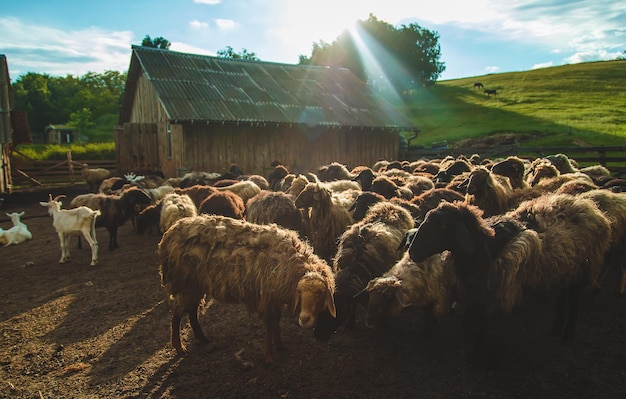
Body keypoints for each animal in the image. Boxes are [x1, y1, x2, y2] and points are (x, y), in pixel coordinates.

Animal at [158, 214, 336, 364]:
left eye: (320, 293)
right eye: (299, 292)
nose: (305, 319)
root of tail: (168, 234)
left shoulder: (274, 297)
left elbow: (276, 322)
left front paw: (279, 345)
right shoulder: (267, 298)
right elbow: (270, 325)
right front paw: (269, 357)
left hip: (195, 285)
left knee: (192, 310)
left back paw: (203, 338)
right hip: (184, 283)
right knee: (177, 315)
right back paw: (179, 347)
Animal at [408, 197, 608, 362]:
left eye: (443, 226)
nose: (412, 251)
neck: (485, 250)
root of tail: (589, 207)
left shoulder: (495, 296)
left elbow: (484, 324)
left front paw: (478, 354)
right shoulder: (475, 293)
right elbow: (472, 320)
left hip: (581, 270)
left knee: (573, 303)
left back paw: (567, 336)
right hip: (564, 270)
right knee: (562, 297)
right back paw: (556, 328)